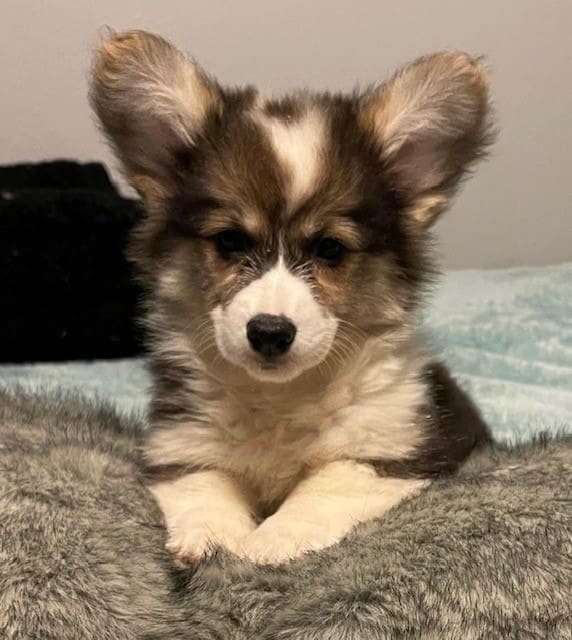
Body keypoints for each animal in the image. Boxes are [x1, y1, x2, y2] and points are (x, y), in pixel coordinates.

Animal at [89, 31, 492, 564]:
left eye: (330, 249)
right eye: (230, 241)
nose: (269, 332)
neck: (279, 399)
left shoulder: (395, 451)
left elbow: (326, 486)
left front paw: (274, 539)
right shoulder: (181, 447)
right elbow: (204, 490)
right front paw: (215, 539)